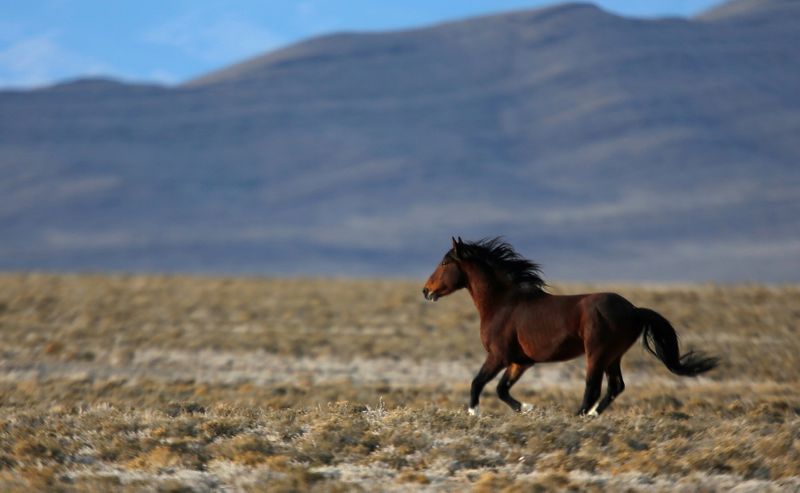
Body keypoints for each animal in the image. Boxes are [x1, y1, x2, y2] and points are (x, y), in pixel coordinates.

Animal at [422, 237, 718, 416]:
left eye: (446, 262)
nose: (426, 291)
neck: (503, 303)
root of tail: (634, 310)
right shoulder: (521, 361)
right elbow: (501, 389)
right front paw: (527, 408)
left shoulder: (498, 356)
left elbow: (477, 383)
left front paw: (474, 413)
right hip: (613, 356)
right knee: (615, 387)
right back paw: (592, 415)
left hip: (596, 353)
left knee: (593, 387)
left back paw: (580, 415)